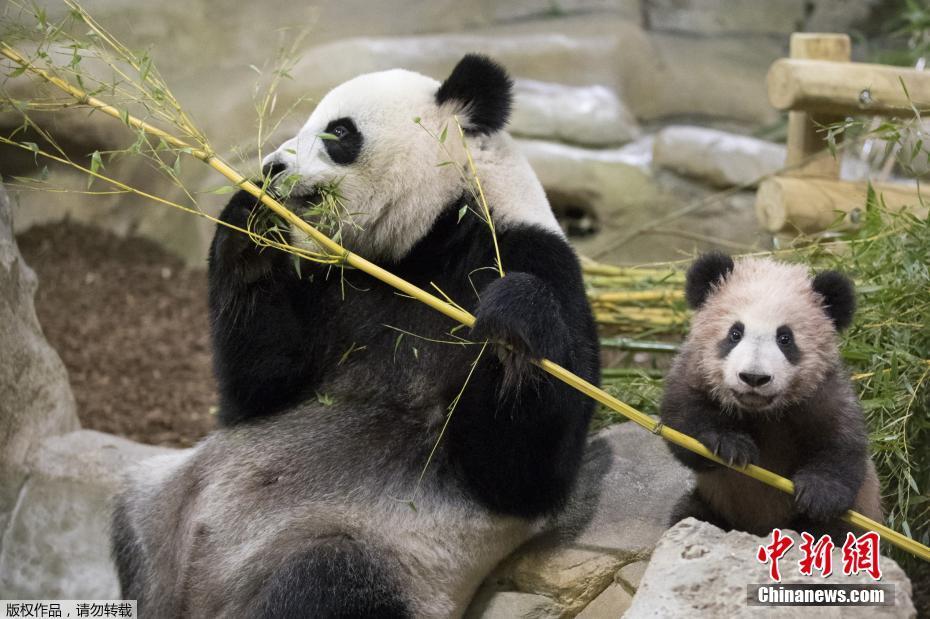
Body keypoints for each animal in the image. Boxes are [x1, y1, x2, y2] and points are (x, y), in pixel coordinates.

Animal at [110, 54, 600, 618]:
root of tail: (199, 597)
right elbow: (259, 387)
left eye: (339, 132)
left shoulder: (528, 257)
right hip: (160, 504)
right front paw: (253, 219)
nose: (272, 168)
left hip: (369, 551)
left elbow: (521, 473)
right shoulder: (333, 283)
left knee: (320, 582)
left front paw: (511, 328)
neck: (423, 247)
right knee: (133, 527)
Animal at [660, 252, 882, 538]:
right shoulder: (694, 372)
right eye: (735, 333)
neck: (760, 412)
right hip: (712, 504)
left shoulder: (823, 390)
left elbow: (842, 442)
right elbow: (682, 422)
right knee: (689, 514)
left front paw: (819, 493)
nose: (754, 377)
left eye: (785, 338)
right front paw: (731, 445)